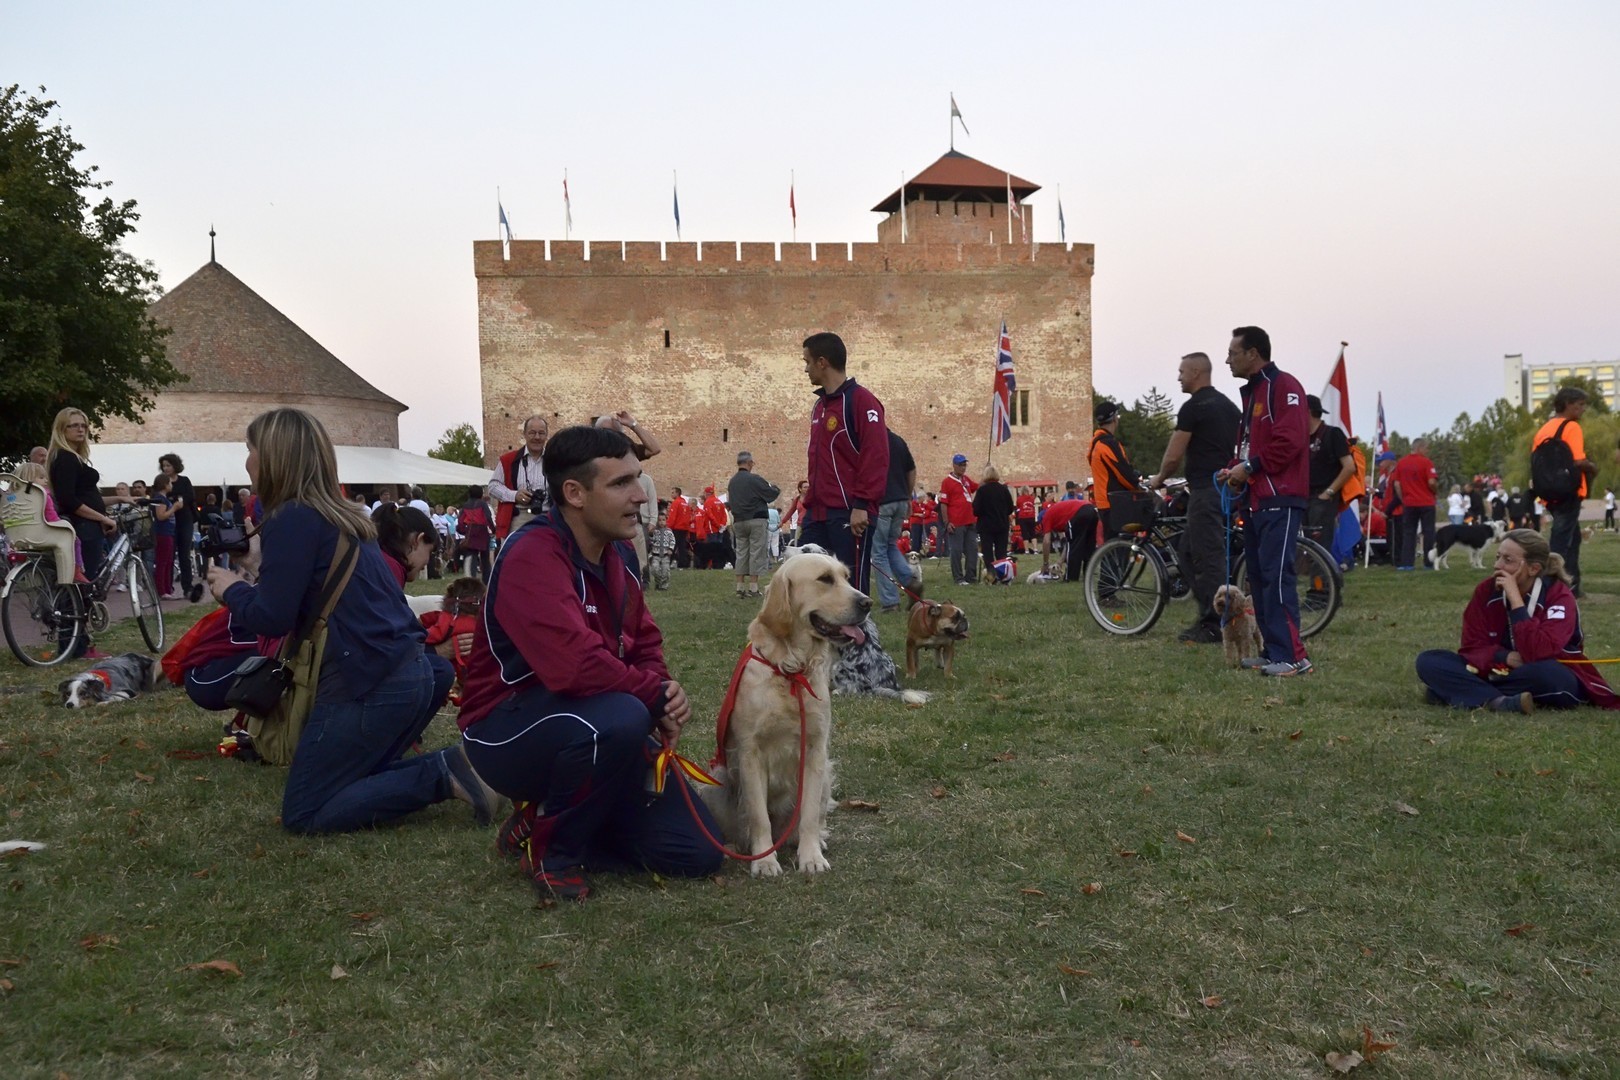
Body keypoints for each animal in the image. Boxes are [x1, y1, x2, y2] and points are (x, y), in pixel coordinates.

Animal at [699, 551, 867, 877]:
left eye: (846, 577)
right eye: (825, 579)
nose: (867, 602)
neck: (791, 672)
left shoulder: (815, 751)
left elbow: (810, 814)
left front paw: (811, 857)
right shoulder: (750, 754)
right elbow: (758, 817)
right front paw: (764, 861)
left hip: (826, 773)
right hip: (718, 776)